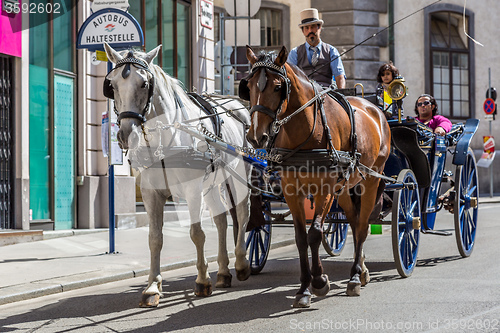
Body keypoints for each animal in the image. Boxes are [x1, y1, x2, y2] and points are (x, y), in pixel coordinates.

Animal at [102, 43, 250, 306]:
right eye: (113, 85)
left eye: (144, 84)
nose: (126, 135)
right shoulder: (151, 194)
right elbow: (154, 238)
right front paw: (152, 287)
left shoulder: (192, 190)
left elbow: (197, 233)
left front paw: (202, 281)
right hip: (212, 185)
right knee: (222, 220)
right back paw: (223, 272)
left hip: (237, 176)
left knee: (242, 213)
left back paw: (241, 263)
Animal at [241, 45, 390, 308]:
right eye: (248, 86)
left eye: (278, 86)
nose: (256, 136)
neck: (305, 130)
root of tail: (375, 109)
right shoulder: (292, 190)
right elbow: (301, 238)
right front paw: (303, 289)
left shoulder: (325, 188)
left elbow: (316, 233)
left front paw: (319, 281)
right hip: (345, 187)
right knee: (353, 222)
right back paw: (361, 269)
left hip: (371, 180)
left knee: (362, 226)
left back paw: (354, 276)